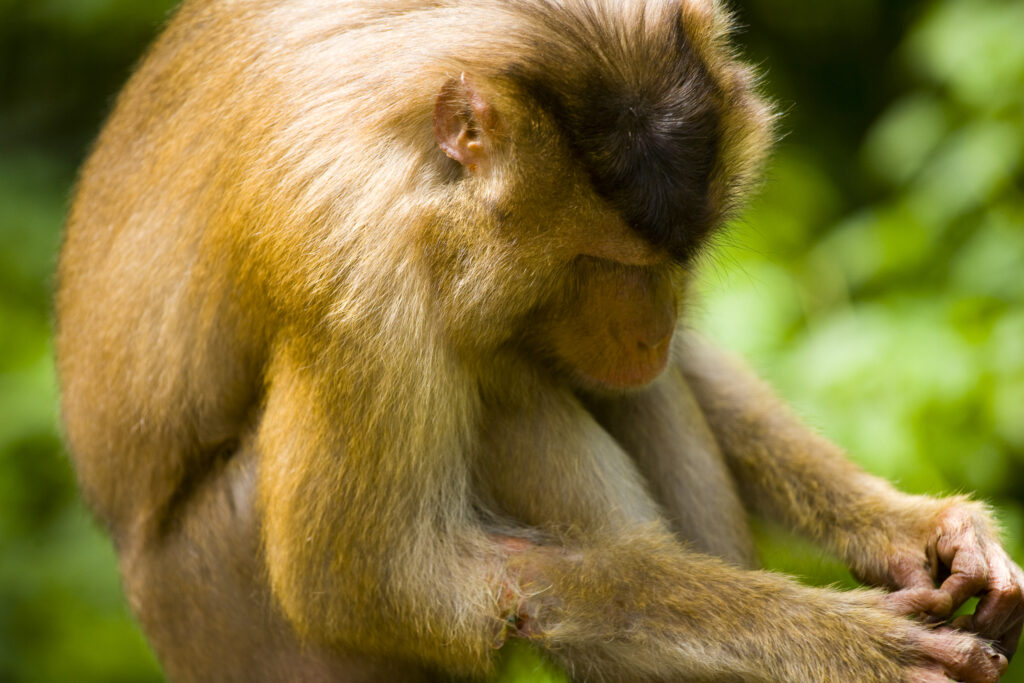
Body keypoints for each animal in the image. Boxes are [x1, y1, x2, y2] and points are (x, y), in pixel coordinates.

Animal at [54, 0, 1024, 681]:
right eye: (599, 260)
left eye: (678, 257)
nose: (647, 331)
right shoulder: (349, 270)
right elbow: (362, 580)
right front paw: (844, 641)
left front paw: (915, 527)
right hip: (230, 607)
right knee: (498, 384)